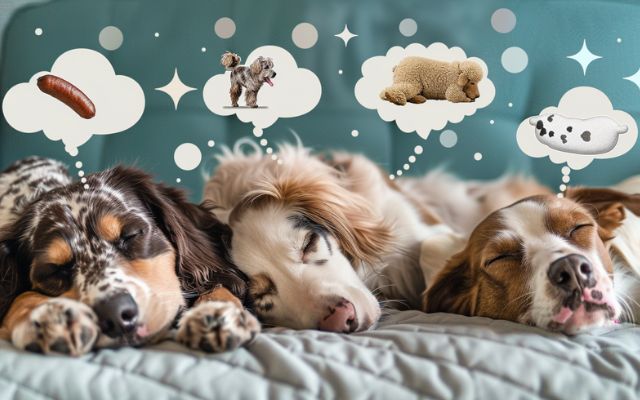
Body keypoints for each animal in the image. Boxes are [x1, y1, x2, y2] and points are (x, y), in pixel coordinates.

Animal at [1, 158, 260, 354]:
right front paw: (47, 318)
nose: (115, 316)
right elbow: (21, 297)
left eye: (130, 234)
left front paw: (216, 313)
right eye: (54, 269)